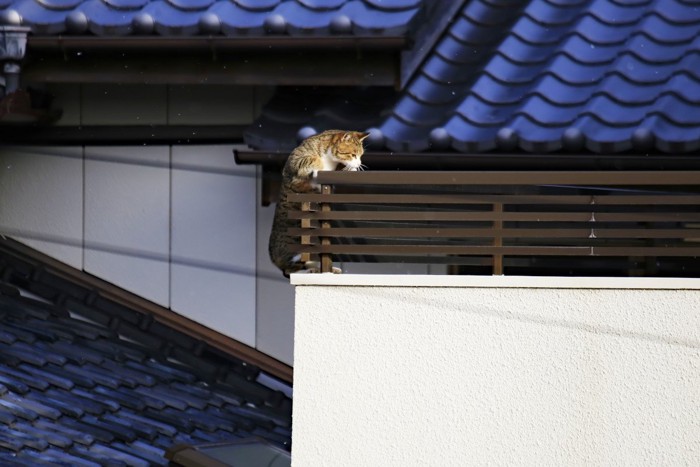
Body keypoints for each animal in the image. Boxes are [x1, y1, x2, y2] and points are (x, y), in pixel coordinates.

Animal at [268, 129, 370, 278]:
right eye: (353, 154)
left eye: (361, 155)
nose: (359, 165)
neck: (329, 159)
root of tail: (274, 260)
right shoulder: (295, 168)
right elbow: (310, 159)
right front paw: (320, 166)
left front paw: (350, 169)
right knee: (292, 269)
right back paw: (309, 270)